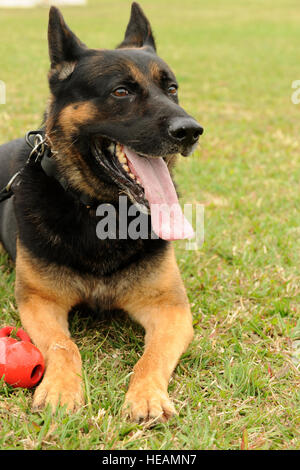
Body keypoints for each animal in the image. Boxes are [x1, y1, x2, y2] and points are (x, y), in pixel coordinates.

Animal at [0, 3, 204, 422]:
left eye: (172, 89)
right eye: (121, 91)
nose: (191, 131)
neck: (102, 214)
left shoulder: (171, 310)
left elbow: (152, 356)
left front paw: (146, 394)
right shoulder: (39, 303)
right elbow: (64, 345)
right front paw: (61, 389)